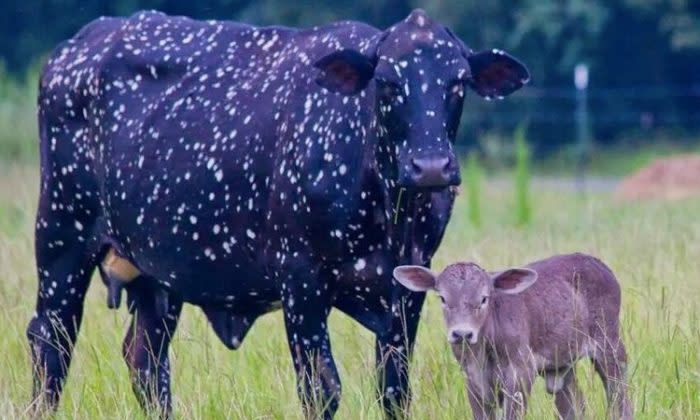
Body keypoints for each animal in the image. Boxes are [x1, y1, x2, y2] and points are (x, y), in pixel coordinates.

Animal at [28, 8, 532, 418]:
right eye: (388, 82)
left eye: (458, 82)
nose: (430, 166)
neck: (388, 212)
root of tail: (80, 43)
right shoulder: (301, 281)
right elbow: (322, 388)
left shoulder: (409, 287)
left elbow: (394, 389)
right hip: (61, 239)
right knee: (50, 342)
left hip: (157, 276)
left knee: (146, 363)